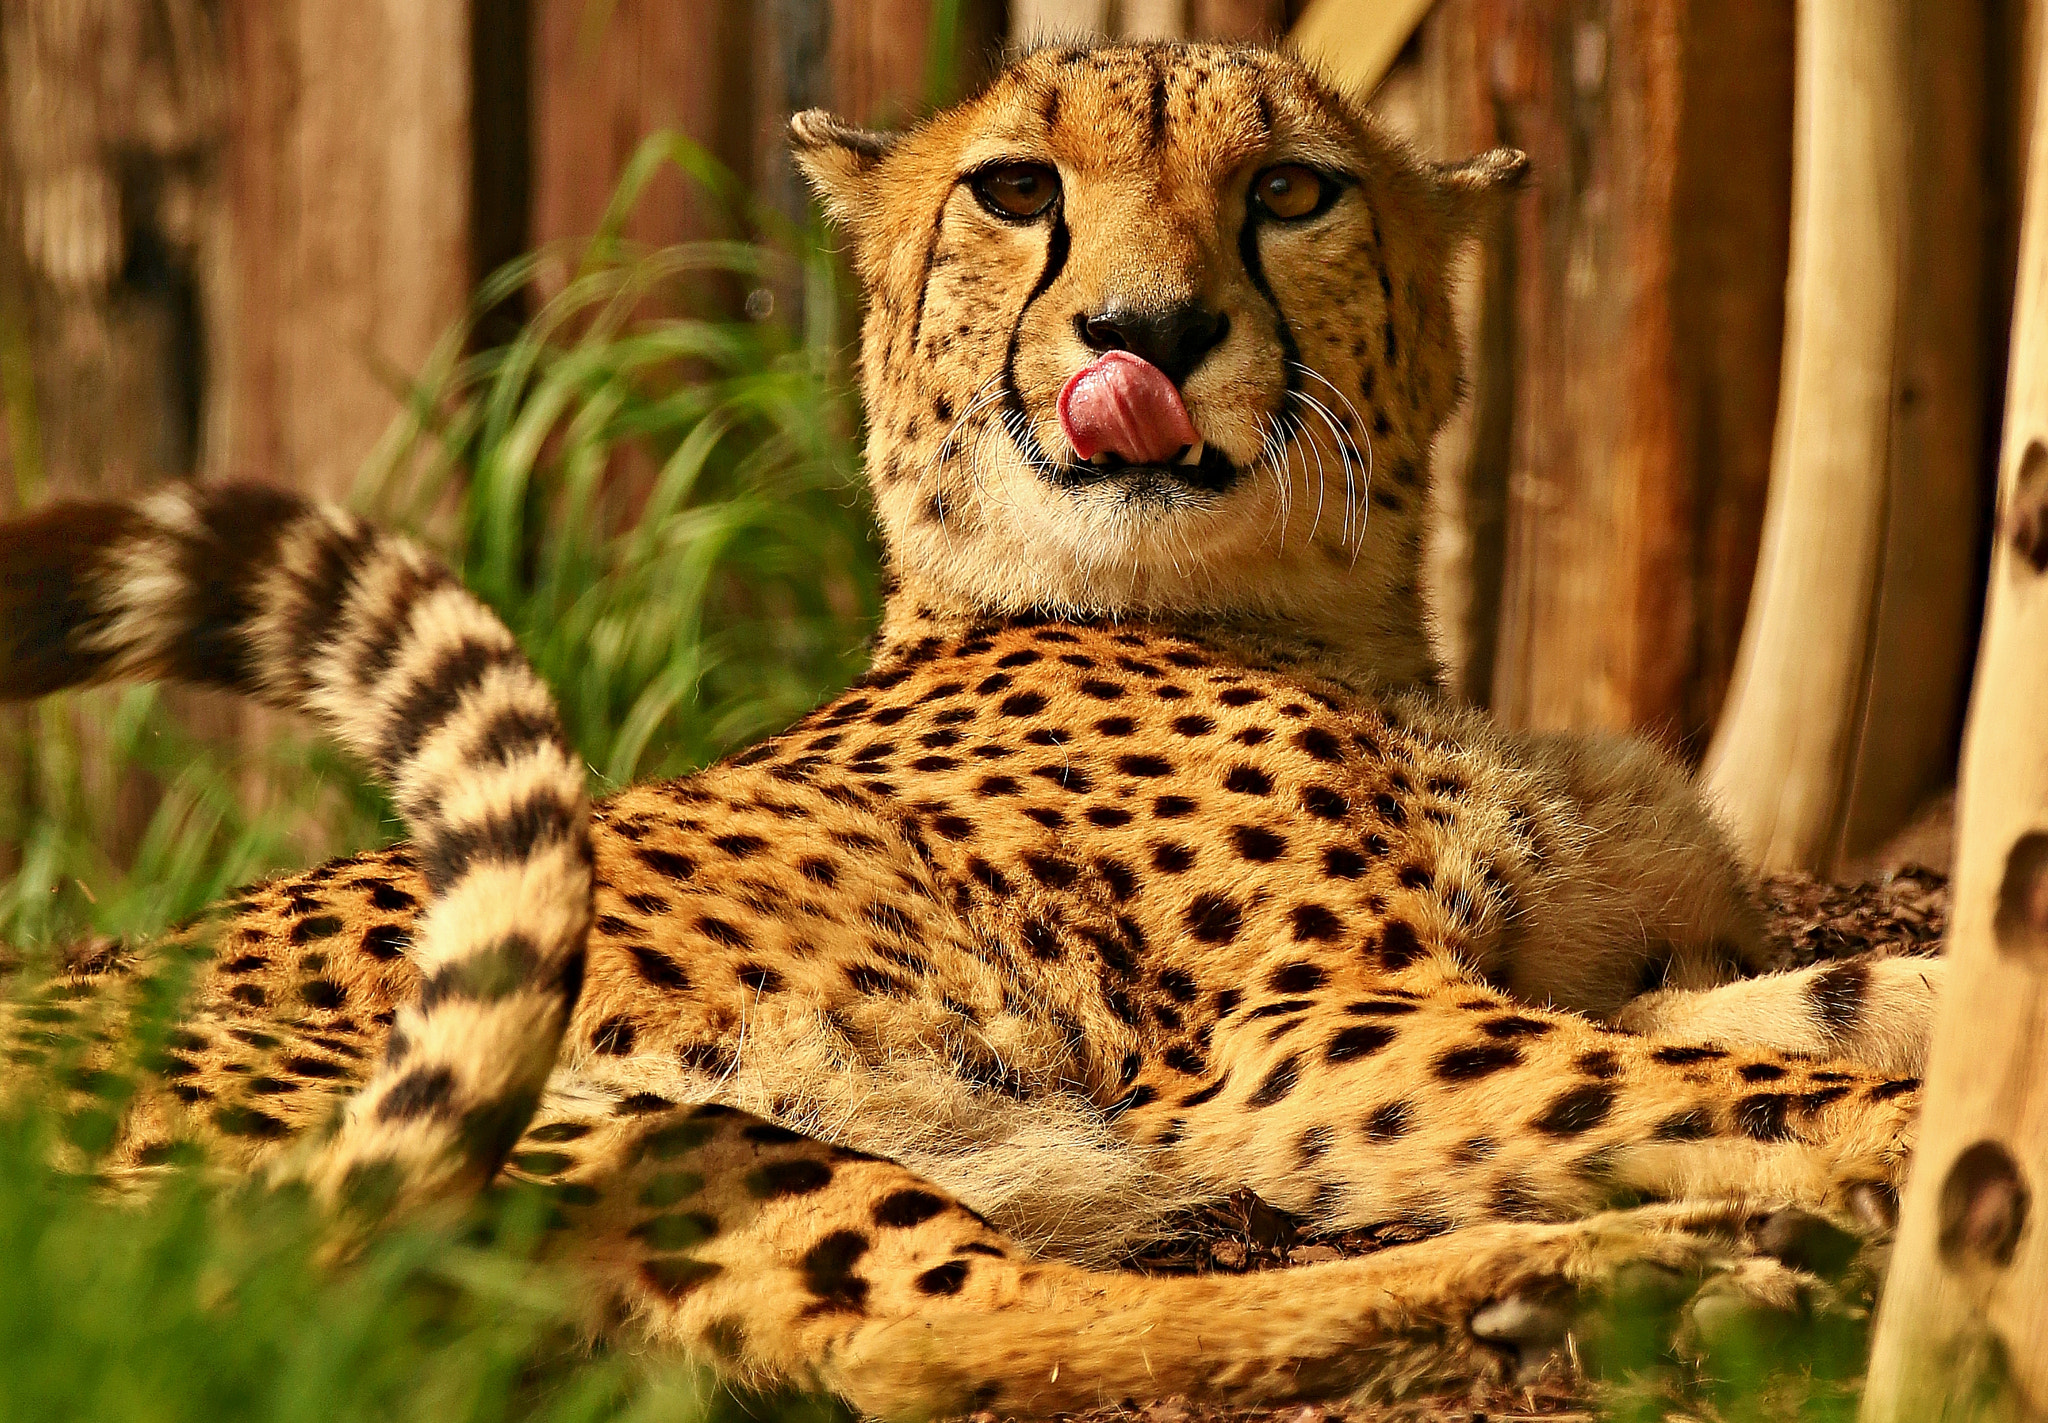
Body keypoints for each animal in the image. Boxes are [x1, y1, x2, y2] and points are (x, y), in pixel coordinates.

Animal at [0, 39, 1946, 1418]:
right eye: (1016, 189)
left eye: (1291, 189)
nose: (1143, 331)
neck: (1319, 621)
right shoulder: (1304, 1036)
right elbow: (1750, 1077)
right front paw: (1913, 1170)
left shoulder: (1548, 966)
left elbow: (1823, 1008)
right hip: (650, 1119)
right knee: (986, 1332)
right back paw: (1627, 1273)